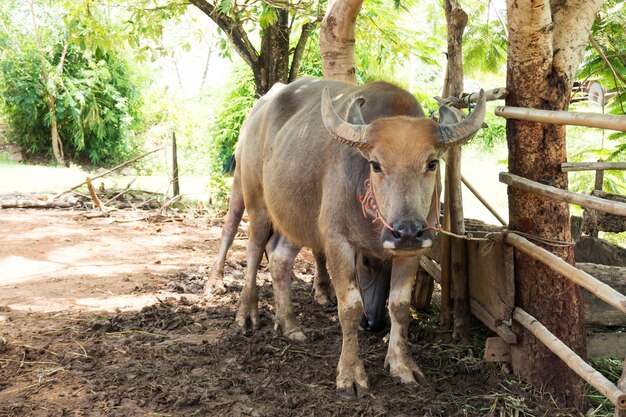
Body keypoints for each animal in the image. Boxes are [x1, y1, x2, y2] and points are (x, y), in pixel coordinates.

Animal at [229, 77, 482, 394]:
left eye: (432, 163)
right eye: (376, 164)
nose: (406, 230)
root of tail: (256, 113)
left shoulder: (414, 249)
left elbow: (400, 306)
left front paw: (402, 365)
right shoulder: (338, 243)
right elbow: (349, 308)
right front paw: (350, 374)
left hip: (296, 218)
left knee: (279, 258)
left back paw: (290, 325)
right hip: (256, 203)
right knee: (253, 250)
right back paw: (246, 314)